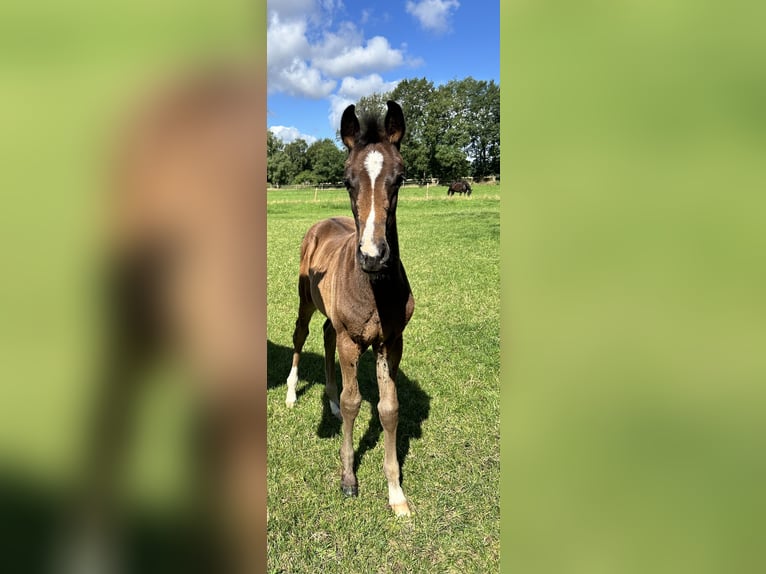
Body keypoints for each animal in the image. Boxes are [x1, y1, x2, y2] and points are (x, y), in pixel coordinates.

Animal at [284, 101, 414, 520]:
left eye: (400, 178)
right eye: (345, 180)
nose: (373, 256)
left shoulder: (391, 342)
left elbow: (388, 408)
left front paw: (396, 493)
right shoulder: (351, 341)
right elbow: (354, 401)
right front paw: (348, 479)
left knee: (326, 337)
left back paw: (327, 400)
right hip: (306, 303)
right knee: (302, 336)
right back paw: (292, 394)